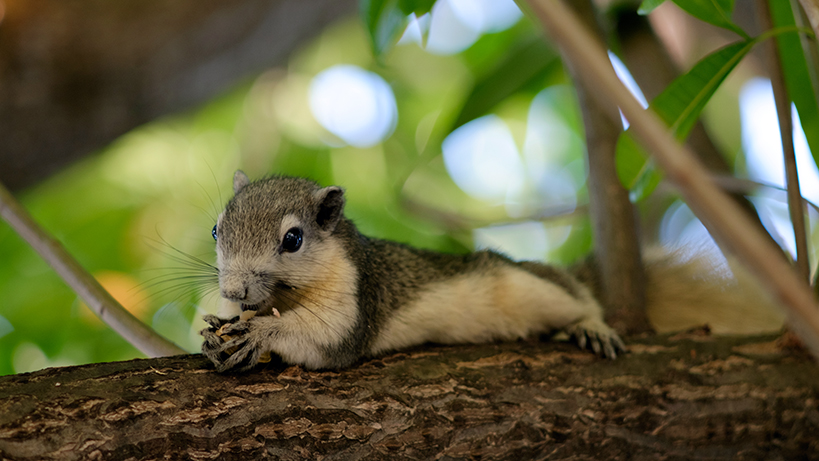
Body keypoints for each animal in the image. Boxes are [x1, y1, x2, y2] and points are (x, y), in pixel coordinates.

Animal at [199, 171, 780, 372]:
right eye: (215, 231)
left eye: (293, 239)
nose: (234, 290)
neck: (291, 295)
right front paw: (221, 332)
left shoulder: (359, 295)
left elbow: (327, 340)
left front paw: (260, 332)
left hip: (531, 287)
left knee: (575, 296)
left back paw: (589, 324)